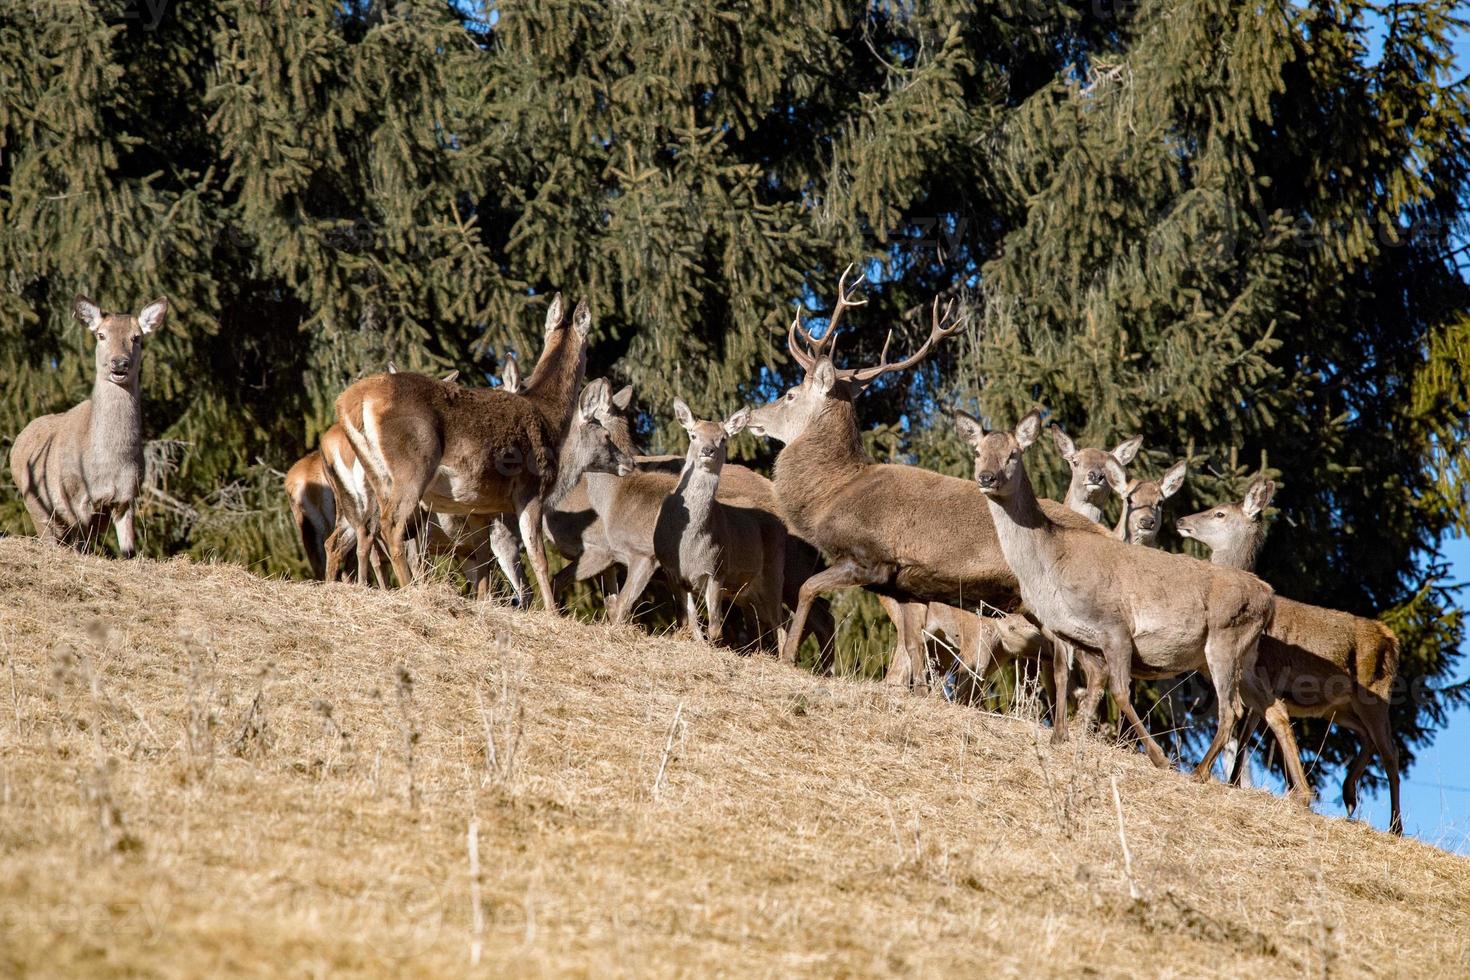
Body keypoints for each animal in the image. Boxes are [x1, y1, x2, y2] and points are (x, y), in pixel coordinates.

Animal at [8, 295, 168, 558]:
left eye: (136, 337)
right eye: (101, 335)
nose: (119, 363)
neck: (107, 465)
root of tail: (17, 443)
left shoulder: (127, 496)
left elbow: (128, 551)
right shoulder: (76, 497)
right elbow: (81, 547)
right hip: (34, 501)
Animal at [958, 411, 1305, 793]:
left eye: (1013, 454)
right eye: (977, 452)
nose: (986, 477)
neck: (1051, 563)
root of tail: (1267, 596)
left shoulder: (1115, 626)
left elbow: (1120, 692)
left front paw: (1159, 758)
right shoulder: (1063, 631)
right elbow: (1063, 677)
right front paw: (1059, 738)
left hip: (1225, 640)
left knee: (1232, 709)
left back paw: (1200, 772)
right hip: (1244, 654)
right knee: (1273, 707)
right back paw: (1301, 794)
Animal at [1170, 478, 1399, 834]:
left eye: (1219, 513)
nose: (1181, 520)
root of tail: (1391, 637)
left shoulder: (1266, 674)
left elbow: (1248, 731)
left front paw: (1235, 782)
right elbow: (1249, 735)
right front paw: (1238, 783)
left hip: (1376, 695)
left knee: (1392, 754)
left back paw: (1395, 825)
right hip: (1339, 707)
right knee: (1368, 738)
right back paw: (1349, 793)